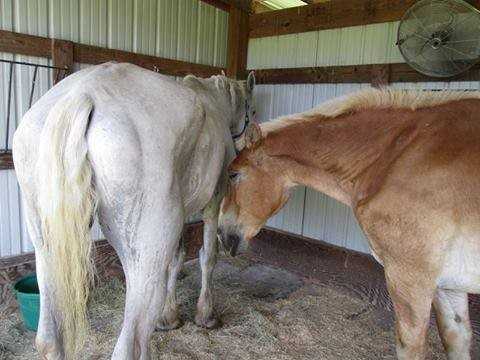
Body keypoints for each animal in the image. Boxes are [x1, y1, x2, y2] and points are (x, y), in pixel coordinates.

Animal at [11, 62, 255, 360]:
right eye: (251, 109)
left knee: (49, 340)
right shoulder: (213, 204)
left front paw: (169, 317)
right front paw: (205, 315)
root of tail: (82, 93)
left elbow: (177, 259)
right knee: (130, 342)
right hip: (147, 253)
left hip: (49, 250)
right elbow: (208, 256)